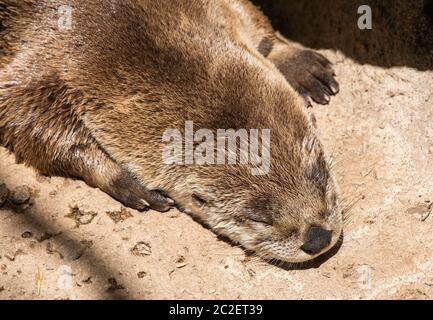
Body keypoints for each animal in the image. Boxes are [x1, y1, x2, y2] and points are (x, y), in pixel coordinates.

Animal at [1, 0, 342, 262]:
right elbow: (21, 116)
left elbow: (249, 15)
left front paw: (298, 63)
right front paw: (126, 181)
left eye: (320, 172)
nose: (317, 238)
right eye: (258, 216)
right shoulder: (43, 56)